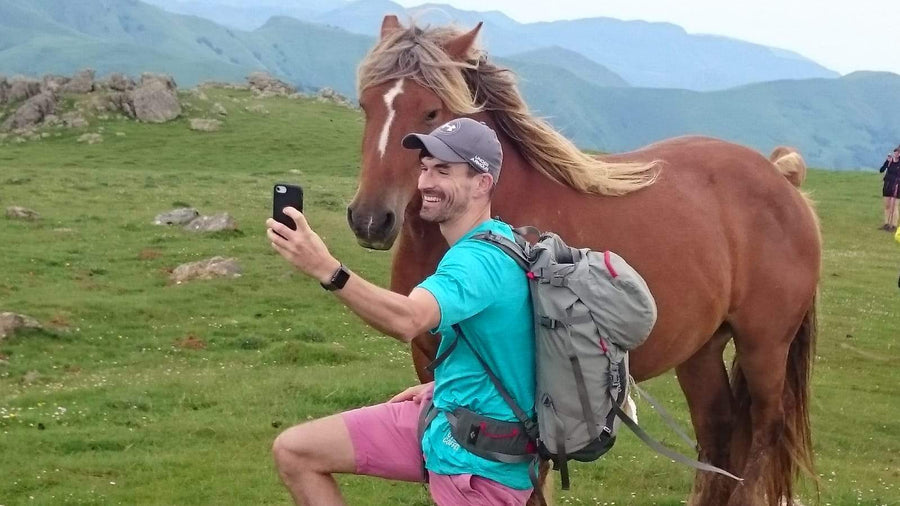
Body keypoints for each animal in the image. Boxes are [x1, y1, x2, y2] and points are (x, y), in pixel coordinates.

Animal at [346, 16, 824, 506]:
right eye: (366, 105)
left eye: (431, 112)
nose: (371, 219)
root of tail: (782, 181)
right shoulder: (430, 362)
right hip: (701, 351)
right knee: (719, 436)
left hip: (764, 349)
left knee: (761, 438)